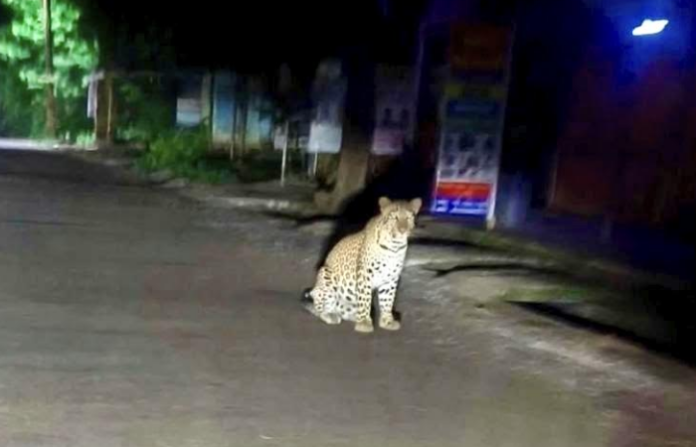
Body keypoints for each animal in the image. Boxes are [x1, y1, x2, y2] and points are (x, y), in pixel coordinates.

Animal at [303, 197, 422, 333]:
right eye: (394, 218)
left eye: (408, 218)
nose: (402, 231)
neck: (394, 247)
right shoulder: (365, 274)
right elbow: (365, 298)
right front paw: (364, 323)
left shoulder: (391, 278)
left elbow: (387, 300)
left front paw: (387, 321)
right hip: (325, 274)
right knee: (319, 308)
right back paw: (331, 315)